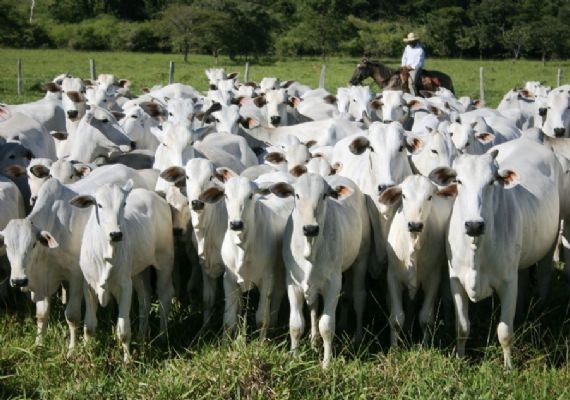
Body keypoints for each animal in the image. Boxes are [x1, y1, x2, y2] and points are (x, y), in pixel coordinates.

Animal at [270, 173, 370, 368]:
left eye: (324, 195)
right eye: (297, 195)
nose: (310, 228)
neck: (310, 248)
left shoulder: (333, 283)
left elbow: (327, 326)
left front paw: (326, 363)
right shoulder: (292, 283)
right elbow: (296, 324)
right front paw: (294, 357)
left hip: (361, 258)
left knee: (359, 297)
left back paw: (358, 336)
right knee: (315, 305)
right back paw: (314, 340)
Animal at [430, 138, 560, 368]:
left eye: (491, 181)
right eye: (459, 181)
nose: (474, 225)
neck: (477, 249)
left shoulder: (508, 283)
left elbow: (505, 332)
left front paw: (508, 367)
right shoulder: (456, 281)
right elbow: (462, 327)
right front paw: (461, 359)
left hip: (551, 241)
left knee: (544, 276)